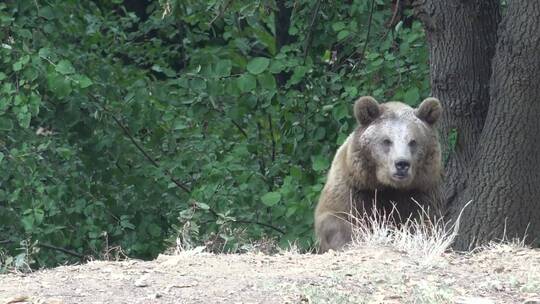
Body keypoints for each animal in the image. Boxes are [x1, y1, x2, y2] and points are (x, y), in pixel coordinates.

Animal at [312, 95, 442, 252]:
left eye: (413, 141)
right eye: (387, 141)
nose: (402, 164)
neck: (386, 186)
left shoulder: (420, 192)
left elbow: (424, 222)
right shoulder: (354, 187)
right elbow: (335, 217)